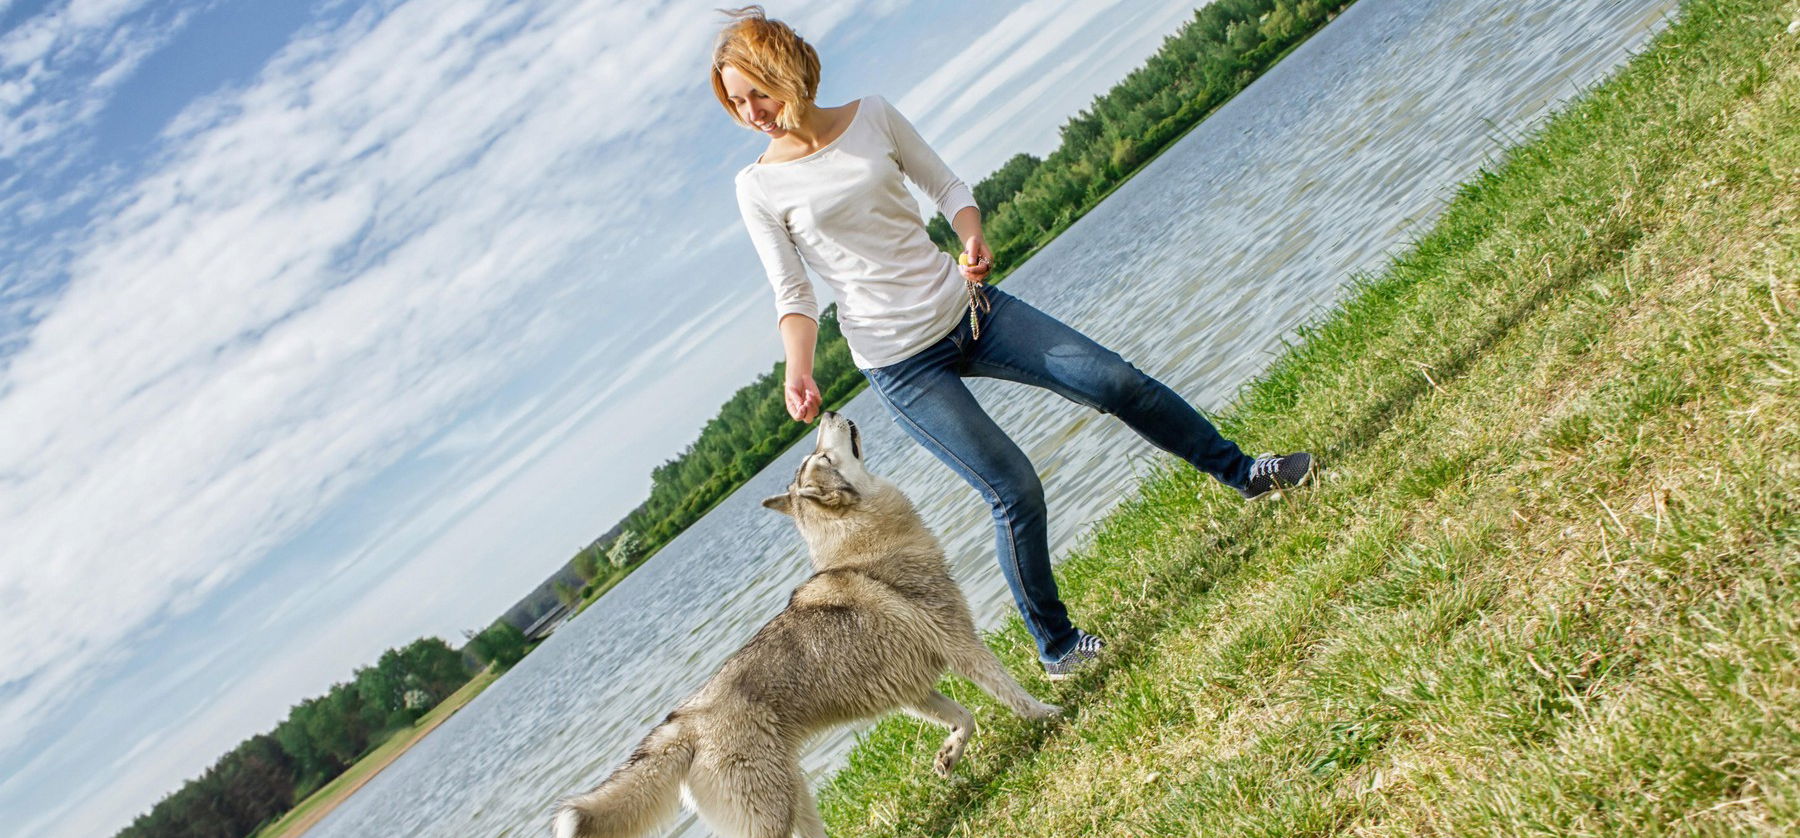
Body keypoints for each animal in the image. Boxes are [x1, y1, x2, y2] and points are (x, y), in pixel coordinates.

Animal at [547, 411, 1051, 838]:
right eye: (822, 457)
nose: (826, 412)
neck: (861, 544)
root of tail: (682, 725)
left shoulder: (911, 692)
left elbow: (964, 718)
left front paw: (948, 756)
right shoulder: (960, 644)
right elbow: (1013, 695)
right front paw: (1054, 713)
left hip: (795, 796)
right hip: (772, 814)